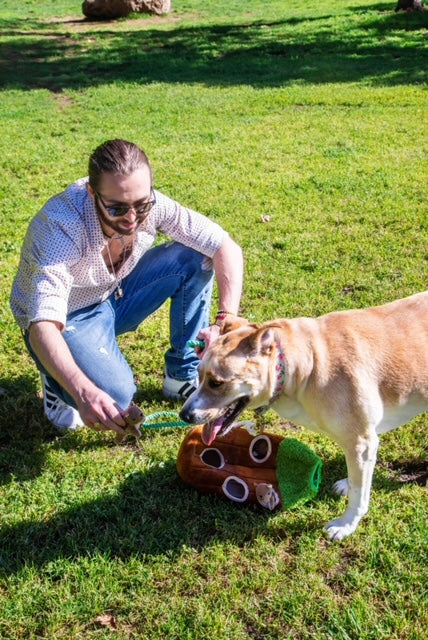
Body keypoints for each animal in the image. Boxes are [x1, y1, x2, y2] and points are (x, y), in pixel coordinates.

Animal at [181, 294, 428, 540]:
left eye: (216, 383)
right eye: (198, 374)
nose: (184, 414)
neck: (304, 366)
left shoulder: (361, 441)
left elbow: (360, 493)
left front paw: (347, 524)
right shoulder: (362, 442)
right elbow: (358, 479)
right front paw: (347, 485)